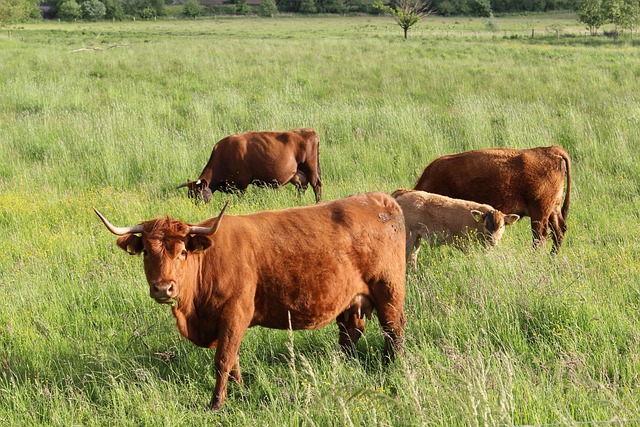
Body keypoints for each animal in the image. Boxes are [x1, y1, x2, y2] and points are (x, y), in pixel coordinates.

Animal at [93, 192, 408, 410]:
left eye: (182, 251)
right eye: (147, 252)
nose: (163, 288)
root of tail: (381, 199)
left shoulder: (235, 313)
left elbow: (223, 359)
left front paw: (216, 403)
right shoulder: (224, 321)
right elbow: (232, 357)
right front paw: (240, 390)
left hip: (389, 291)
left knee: (393, 330)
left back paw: (392, 367)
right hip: (352, 302)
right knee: (351, 334)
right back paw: (343, 366)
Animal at [178, 129, 322, 204]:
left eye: (198, 195)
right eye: (190, 195)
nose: (197, 207)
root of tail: (310, 131)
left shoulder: (242, 183)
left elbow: (241, 199)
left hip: (311, 170)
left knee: (317, 186)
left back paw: (318, 204)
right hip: (299, 175)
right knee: (302, 188)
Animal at [390, 190, 520, 268]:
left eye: (502, 226)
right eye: (485, 225)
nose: (492, 240)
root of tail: (403, 191)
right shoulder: (467, 246)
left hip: (417, 238)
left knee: (412, 256)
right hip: (407, 237)